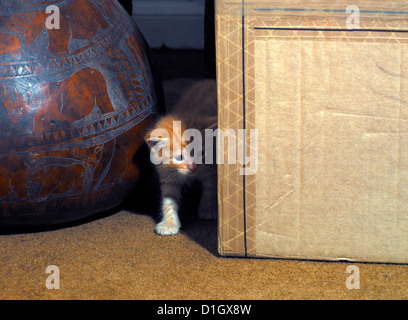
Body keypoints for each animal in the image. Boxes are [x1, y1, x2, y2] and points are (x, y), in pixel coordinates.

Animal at [145, 80, 218, 235]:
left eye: (201, 153)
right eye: (179, 157)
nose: (193, 168)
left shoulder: (212, 166)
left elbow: (210, 190)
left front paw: (208, 209)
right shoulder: (166, 174)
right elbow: (169, 200)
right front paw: (169, 223)